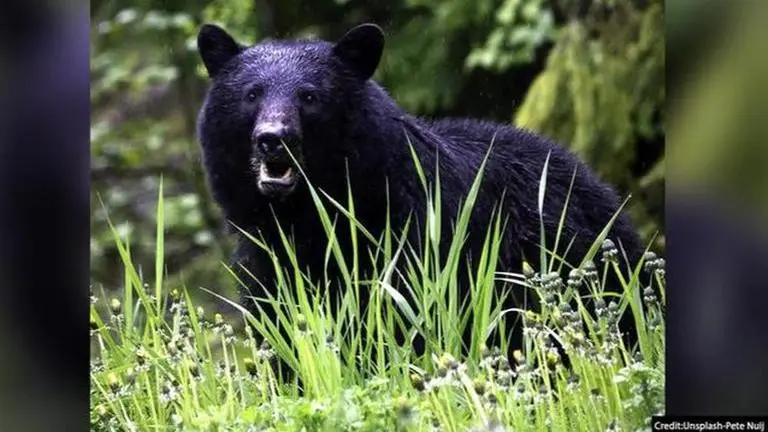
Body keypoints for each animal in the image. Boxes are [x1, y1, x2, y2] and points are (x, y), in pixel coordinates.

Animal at [195, 22, 645, 371]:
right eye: (252, 94)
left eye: (309, 96)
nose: (273, 138)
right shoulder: (265, 259)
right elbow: (282, 331)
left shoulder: (414, 240)